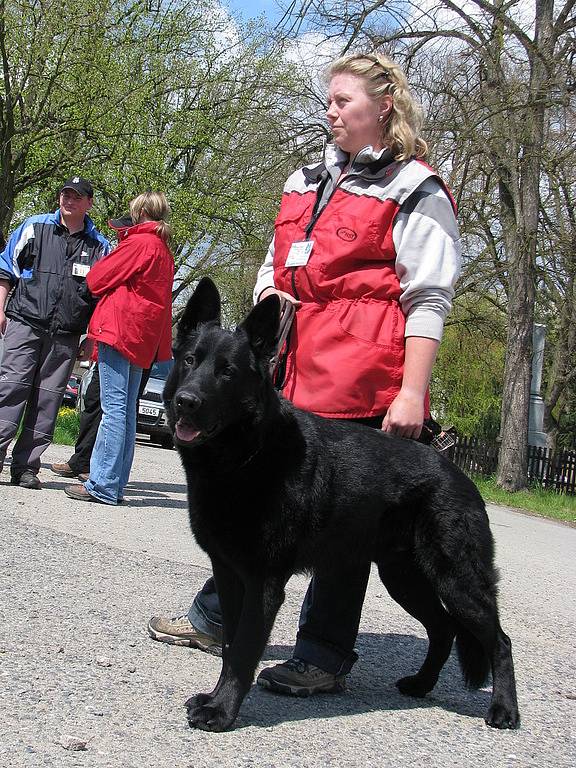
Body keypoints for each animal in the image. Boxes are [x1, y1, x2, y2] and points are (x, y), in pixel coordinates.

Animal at [164, 280, 520, 736]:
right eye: (190, 360)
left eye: (227, 372)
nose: (186, 401)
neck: (245, 456)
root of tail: (457, 473)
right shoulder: (228, 574)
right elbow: (229, 645)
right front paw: (215, 699)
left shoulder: (262, 583)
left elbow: (243, 650)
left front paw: (223, 712)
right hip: (404, 578)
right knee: (443, 629)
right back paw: (421, 685)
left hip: (458, 581)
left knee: (499, 641)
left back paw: (504, 710)